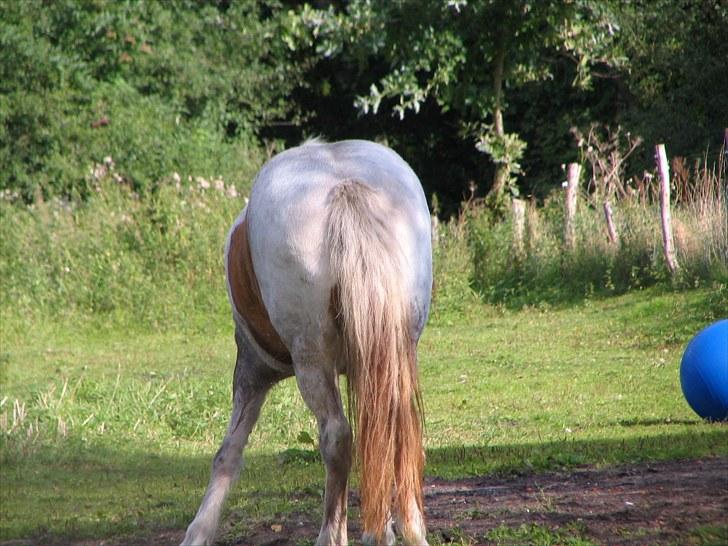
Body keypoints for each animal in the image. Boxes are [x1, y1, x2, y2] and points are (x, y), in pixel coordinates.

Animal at [182, 138, 432, 544]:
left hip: (310, 361)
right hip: (395, 351)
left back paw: (331, 535)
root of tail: (344, 186)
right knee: (396, 434)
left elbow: (228, 452)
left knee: (337, 437)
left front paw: (198, 531)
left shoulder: (251, 370)